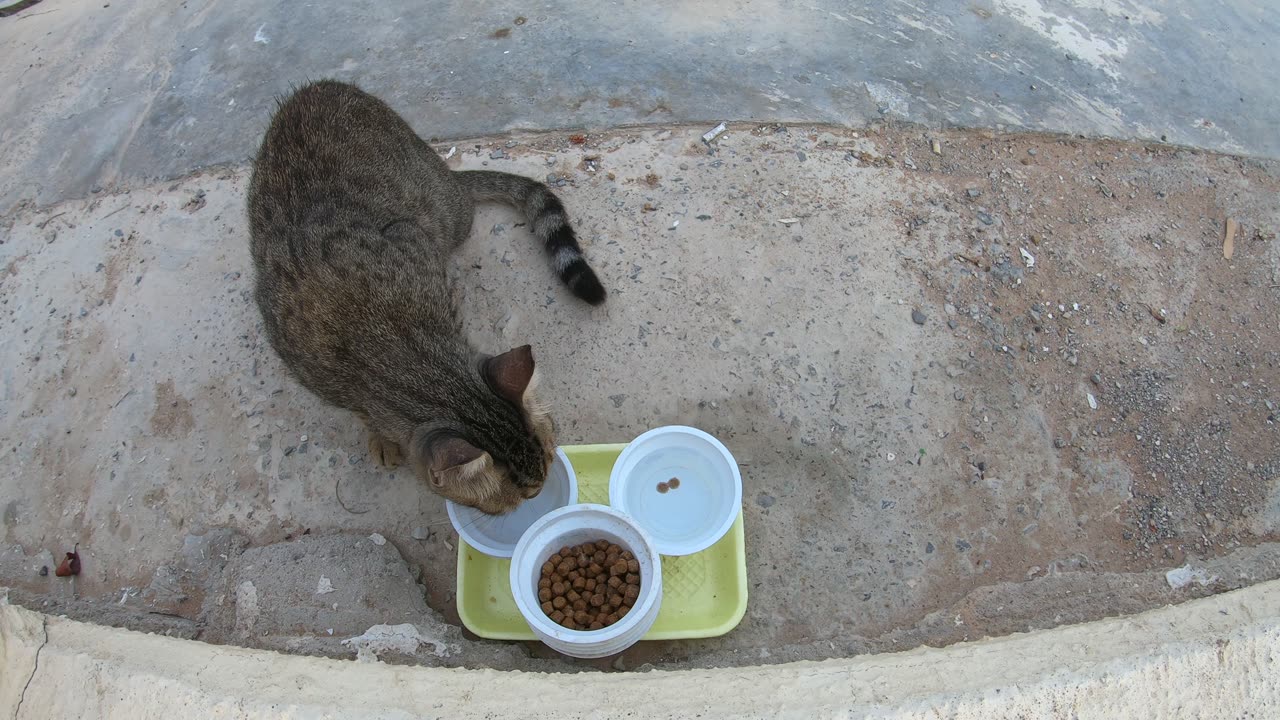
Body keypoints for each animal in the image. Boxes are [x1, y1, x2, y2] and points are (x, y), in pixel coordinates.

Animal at [250, 81, 609, 512]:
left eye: (552, 454)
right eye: (520, 497)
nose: (539, 492)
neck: (387, 340)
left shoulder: (416, 245)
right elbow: (363, 413)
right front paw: (381, 436)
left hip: (443, 213)